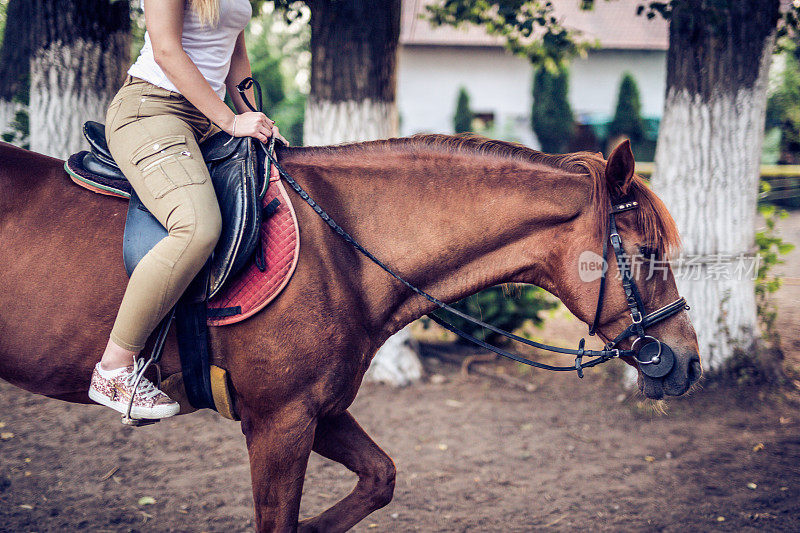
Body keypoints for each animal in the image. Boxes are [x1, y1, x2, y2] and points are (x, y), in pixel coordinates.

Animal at [0, 135, 700, 528]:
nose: (687, 362)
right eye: (645, 254)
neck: (343, 252)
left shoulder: (319, 410)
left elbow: (380, 477)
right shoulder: (279, 422)